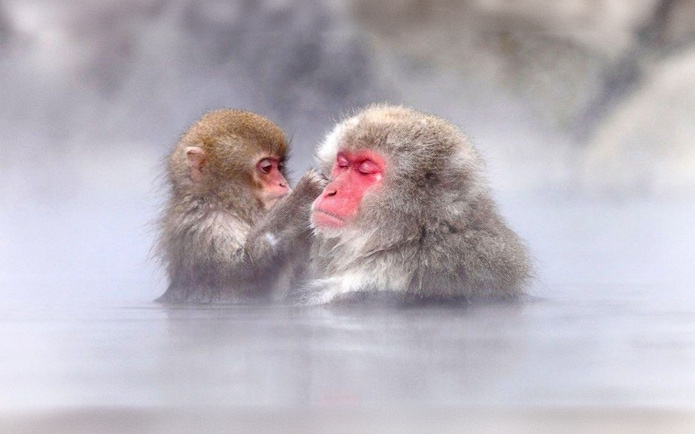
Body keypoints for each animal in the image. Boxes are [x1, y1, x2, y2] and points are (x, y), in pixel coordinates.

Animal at [154, 109, 325, 303]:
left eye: (280, 167)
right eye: (267, 167)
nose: (283, 183)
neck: (225, 204)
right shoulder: (205, 226)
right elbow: (242, 274)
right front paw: (303, 195)